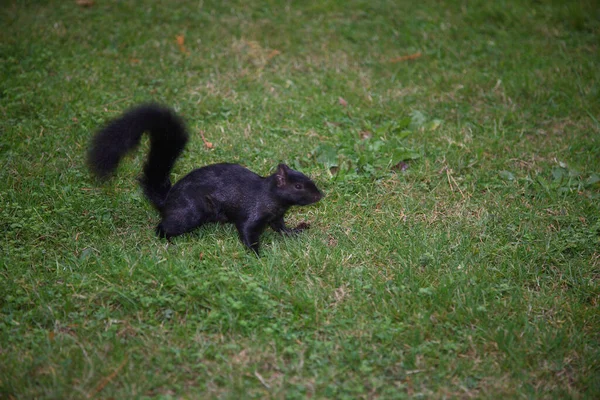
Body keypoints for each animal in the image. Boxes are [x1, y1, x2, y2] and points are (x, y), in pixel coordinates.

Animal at [86, 103, 322, 253]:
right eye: (298, 186)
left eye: (307, 178)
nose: (320, 195)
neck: (272, 198)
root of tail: (167, 200)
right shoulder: (251, 214)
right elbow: (247, 233)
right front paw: (257, 255)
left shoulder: (276, 216)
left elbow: (280, 228)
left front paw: (295, 231)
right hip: (191, 212)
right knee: (163, 227)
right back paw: (169, 241)